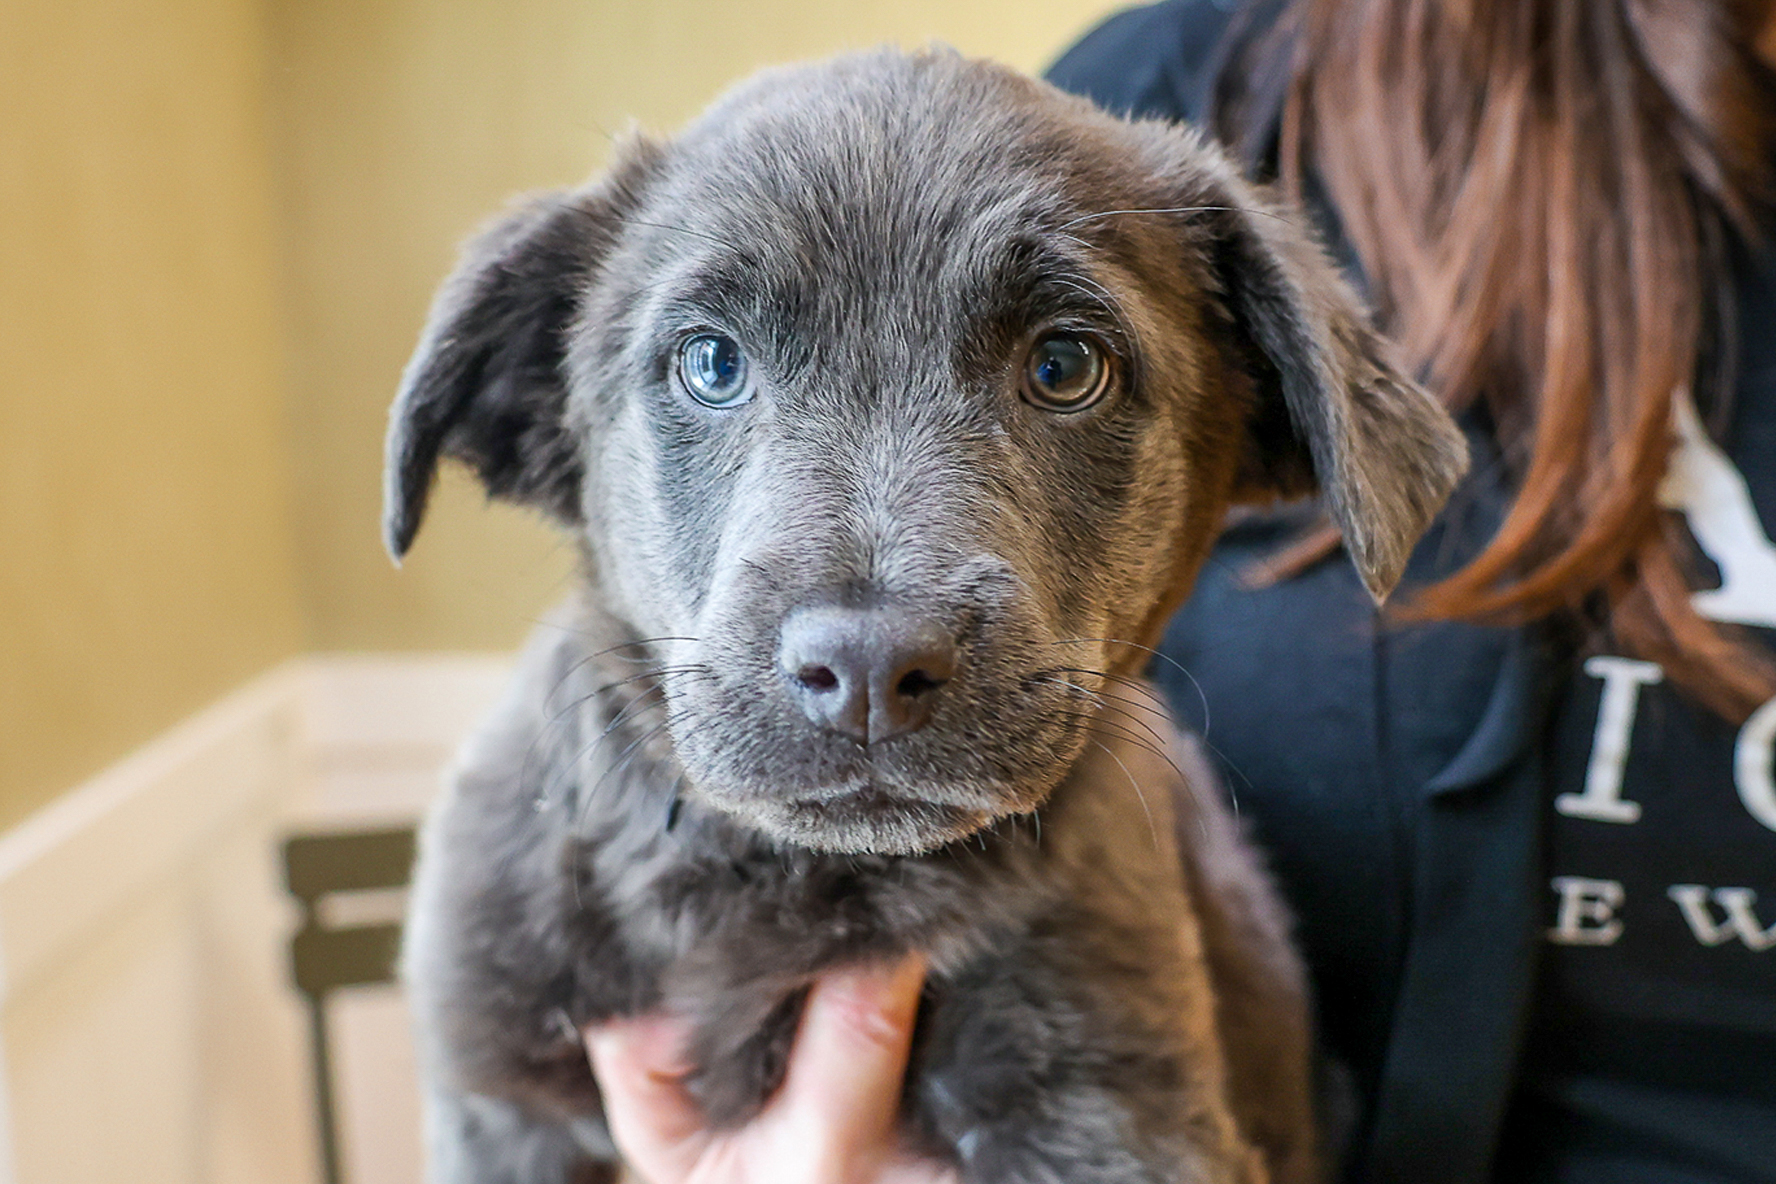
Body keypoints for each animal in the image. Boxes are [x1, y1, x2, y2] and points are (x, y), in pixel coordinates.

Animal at [387, 48, 1468, 1184]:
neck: (804, 881)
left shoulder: (1114, 1109)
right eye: (711, 362)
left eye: (1065, 366)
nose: (867, 666)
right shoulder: (496, 1102)